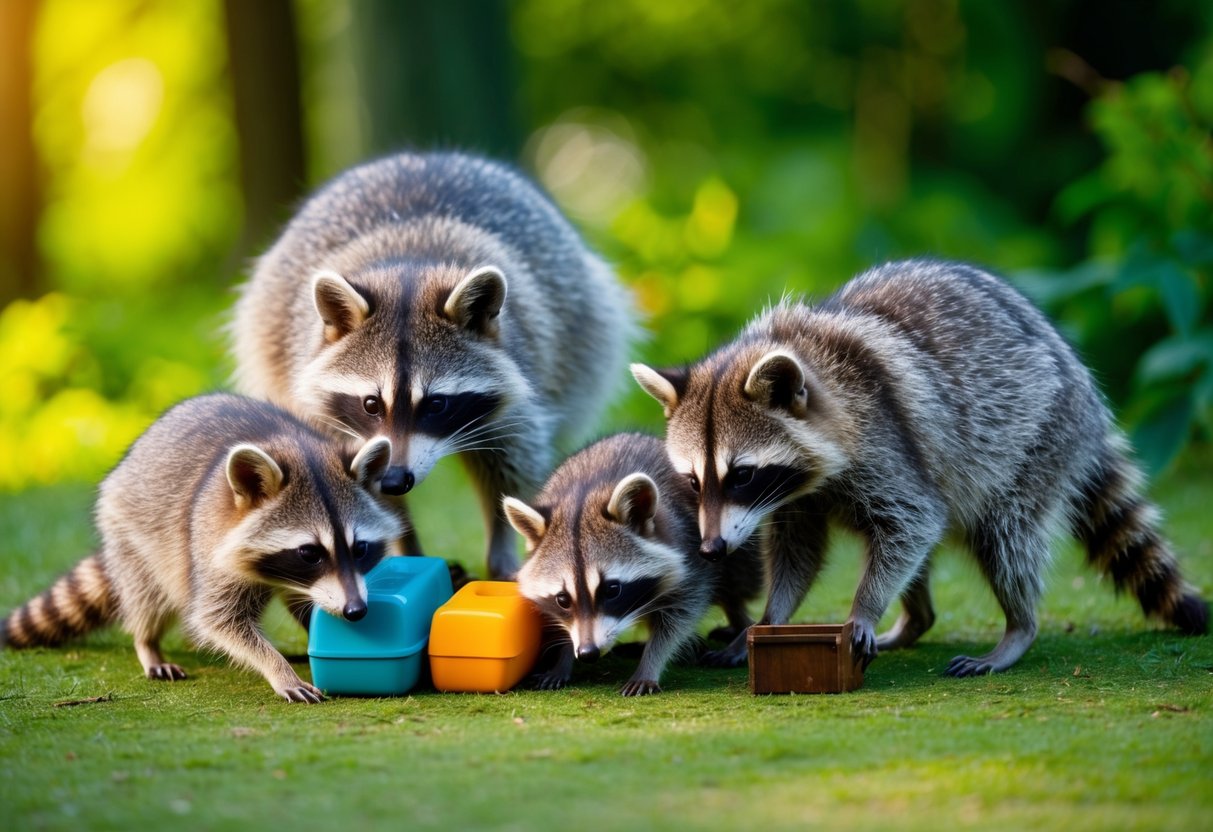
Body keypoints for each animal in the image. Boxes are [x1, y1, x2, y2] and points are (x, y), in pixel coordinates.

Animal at [0, 394, 404, 703]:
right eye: (309, 553)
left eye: (360, 548)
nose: (356, 610)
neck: (300, 449)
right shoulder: (209, 546)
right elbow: (217, 619)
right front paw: (278, 668)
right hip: (131, 531)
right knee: (148, 597)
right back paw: (147, 642)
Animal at [230, 151, 633, 580]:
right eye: (371, 404)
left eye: (437, 404)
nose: (394, 479)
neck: (410, 270)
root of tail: (420, 157)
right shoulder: (328, 418)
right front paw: (405, 547)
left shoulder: (521, 383)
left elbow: (511, 467)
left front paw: (502, 553)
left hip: (584, 328)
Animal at [504, 433, 763, 695]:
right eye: (563, 599)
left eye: (611, 590)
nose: (588, 653)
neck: (583, 498)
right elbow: (561, 622)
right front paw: (563, 658)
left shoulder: (691, 556)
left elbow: (679, 617)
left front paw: (651, 662)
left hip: (731, 537)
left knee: (733, 585)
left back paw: (742, 630)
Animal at [632, 259, 1209, 675]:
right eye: (692, 480)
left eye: (742, 475)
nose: (712, 548)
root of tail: (1079, 381)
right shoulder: (797, 496)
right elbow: (802, 551)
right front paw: (771, 619)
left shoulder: (885, 442)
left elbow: (911, 521)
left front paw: (863, 607)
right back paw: (917, 618)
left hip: (1038, 438)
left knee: (1005, 537)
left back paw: (1018, 627)